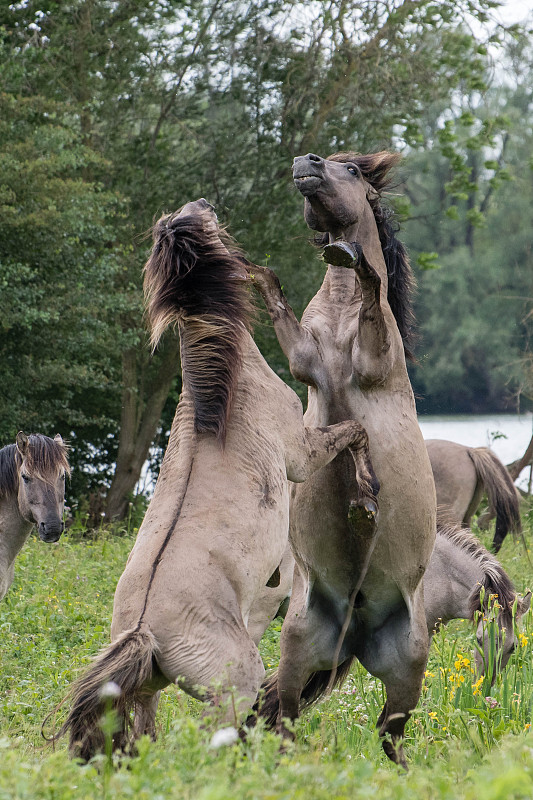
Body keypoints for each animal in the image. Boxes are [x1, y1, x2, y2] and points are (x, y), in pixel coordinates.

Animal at [47, 197, 376, 760]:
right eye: (203, 223)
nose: (204, 202)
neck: (223, 403)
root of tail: (145, 630)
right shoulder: (301, 455)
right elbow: (352, 432)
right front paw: (369, 488)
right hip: (236, 682)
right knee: (214, 739)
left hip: (149, 689)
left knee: (144, 733)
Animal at [249, 150, 436, 768]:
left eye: (352, 171)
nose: (305, 163)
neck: (337, 319)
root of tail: (356, 631)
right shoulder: (303, 359)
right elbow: (275, 298)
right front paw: (251, 269)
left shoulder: (373, 358)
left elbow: (374, 286)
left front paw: (350, 256)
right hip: (298, 645)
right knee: (284, 714)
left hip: (409, 665)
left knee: (390, 732)